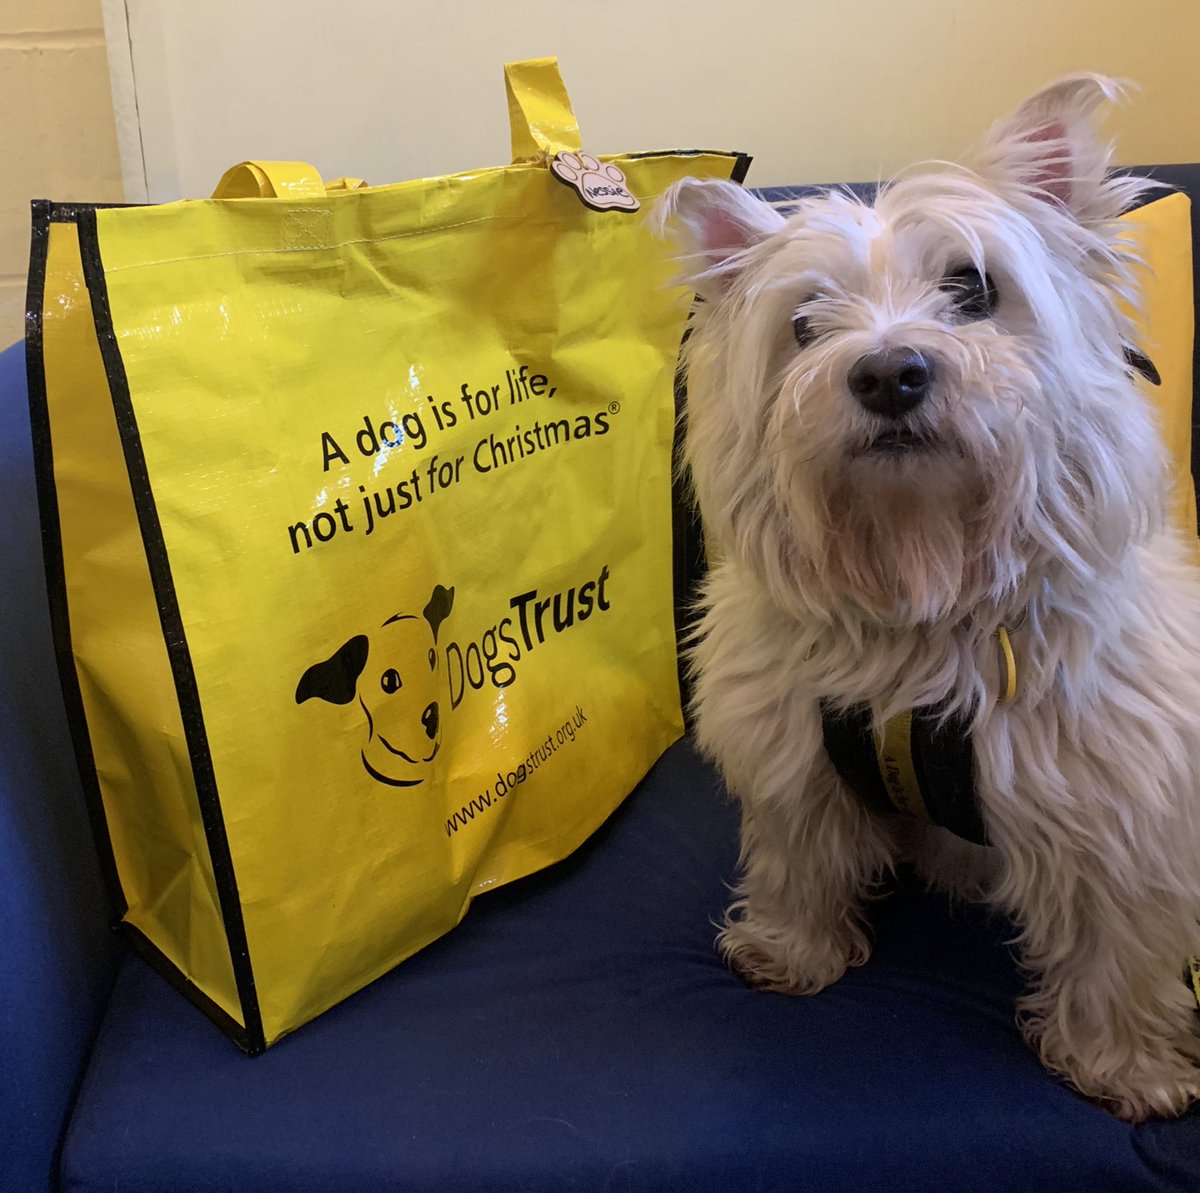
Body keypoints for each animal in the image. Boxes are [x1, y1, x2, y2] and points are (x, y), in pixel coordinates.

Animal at [662, 79, 1200, 1118]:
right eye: (804, 324)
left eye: (974, 290)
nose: (887, 374)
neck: (922, 592)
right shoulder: (794, 763)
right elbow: (798, 862)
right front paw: (791, 950)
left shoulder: (1125, 809)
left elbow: (1121, 951)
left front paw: (1127, 1065)